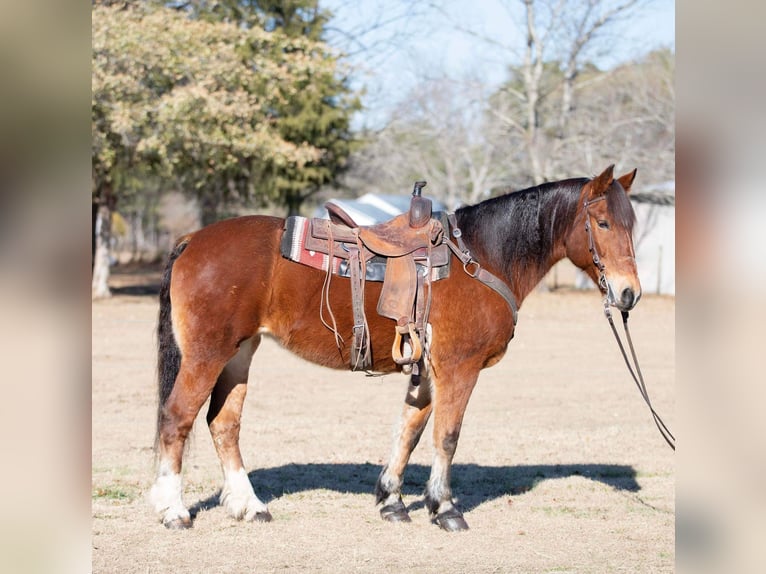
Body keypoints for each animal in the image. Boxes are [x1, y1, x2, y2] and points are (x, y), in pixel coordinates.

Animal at [150, 164, 640, 532]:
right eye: (602, 223)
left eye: (631, 224)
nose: (629, 293)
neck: (481, 258)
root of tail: (192, 240)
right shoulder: (459, 368)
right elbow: (447, 436)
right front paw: (445, 508)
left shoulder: (427, 371)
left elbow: (410, 430)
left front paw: (391, 500)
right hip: (207, 354)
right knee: (177, 418)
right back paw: (174, 511)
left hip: (239, 352)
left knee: (223, 424)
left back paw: (250, 505)